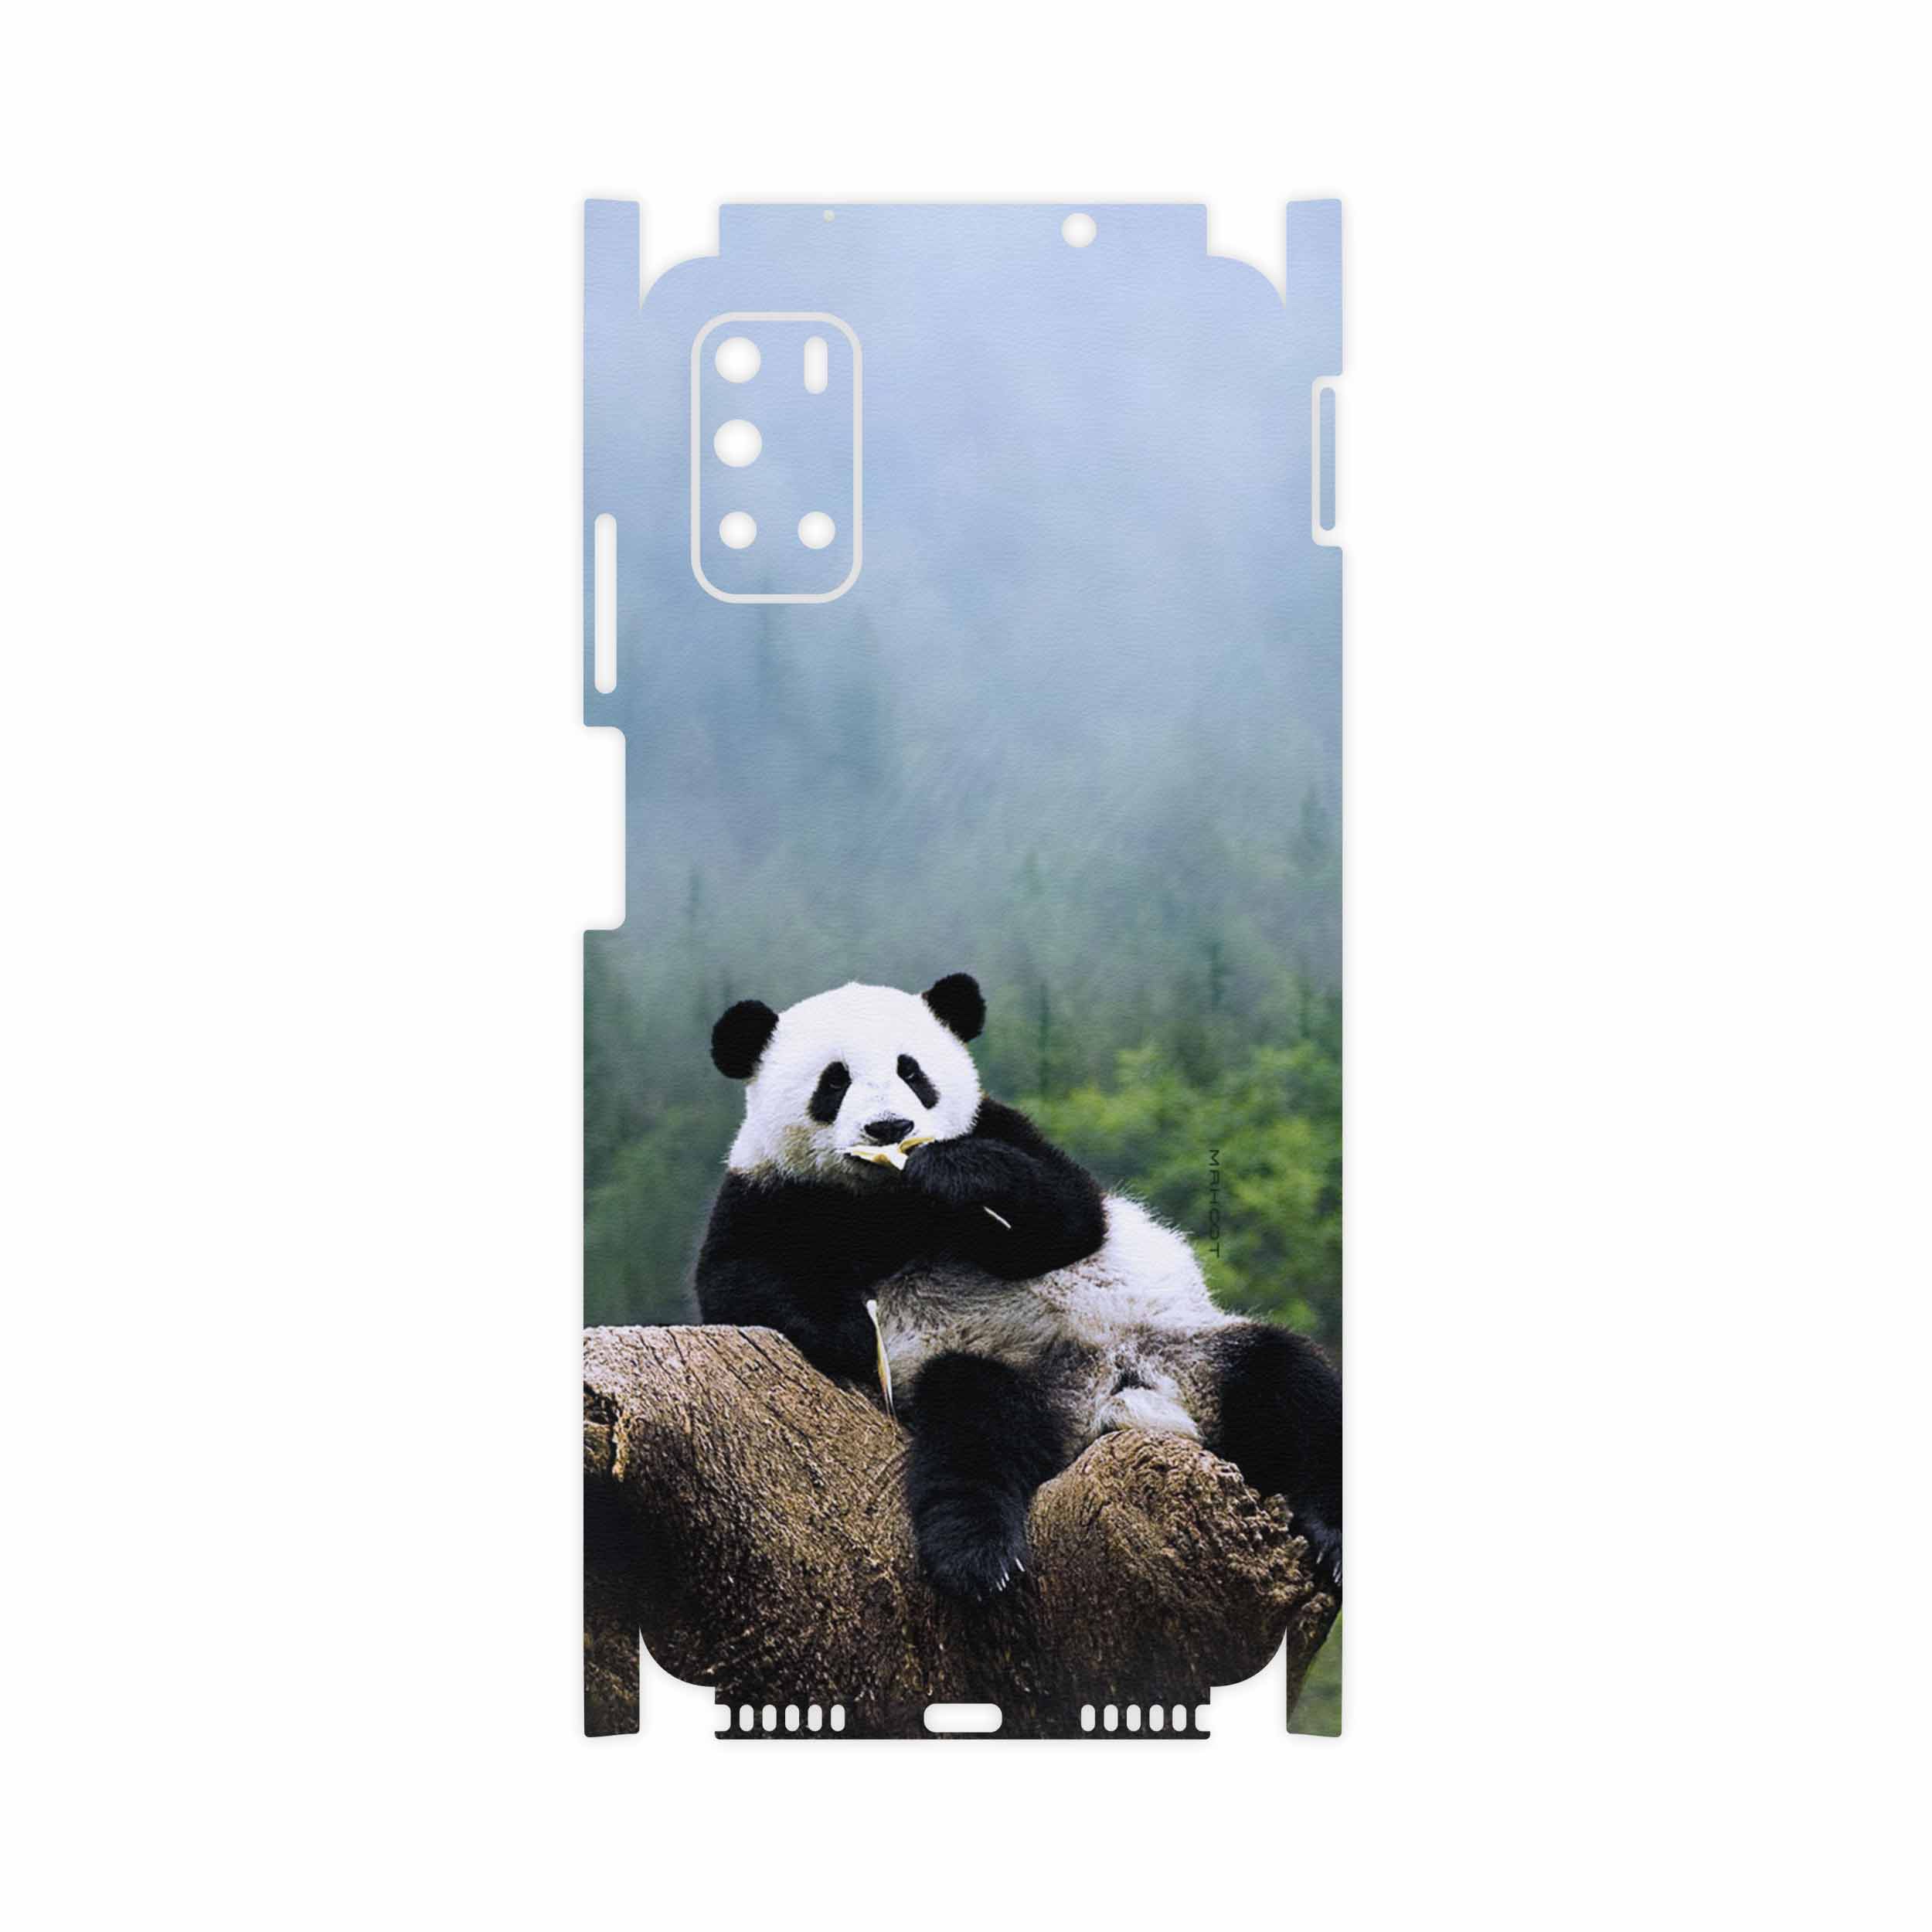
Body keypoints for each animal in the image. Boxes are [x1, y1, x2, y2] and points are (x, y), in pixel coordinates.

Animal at [695, 973, 1342, 1600]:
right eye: (834, 1082)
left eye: (913, 1072)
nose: (890, 1127)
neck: (888, 1199)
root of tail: (1109, 1400)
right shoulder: (770, 1190)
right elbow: (737, 1279)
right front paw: (855, 1333)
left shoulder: (1002, 1128)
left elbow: (1070, 1216)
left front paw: (955, 1174)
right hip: (1005, 1374)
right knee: (974, 1429)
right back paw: (979, 1558)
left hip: (1187, 1350)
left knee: (1293, 1385)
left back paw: (1331, 1537)